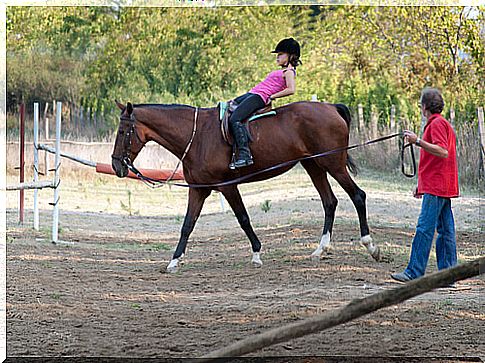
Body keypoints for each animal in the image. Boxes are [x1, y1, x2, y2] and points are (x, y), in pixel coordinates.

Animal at [111, 100, 380, 272]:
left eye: (123, 131)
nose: (116, 165)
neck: (197, 136)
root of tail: (331, 107)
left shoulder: (228, 187)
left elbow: (243, 218)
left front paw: (257, 254)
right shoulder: (198, 190)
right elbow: (187, 225)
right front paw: (174, 261)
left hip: (333, 164)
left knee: (358, 195)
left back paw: (370, 246)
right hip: (313, 165)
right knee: (329, 202)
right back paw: (320, 250)